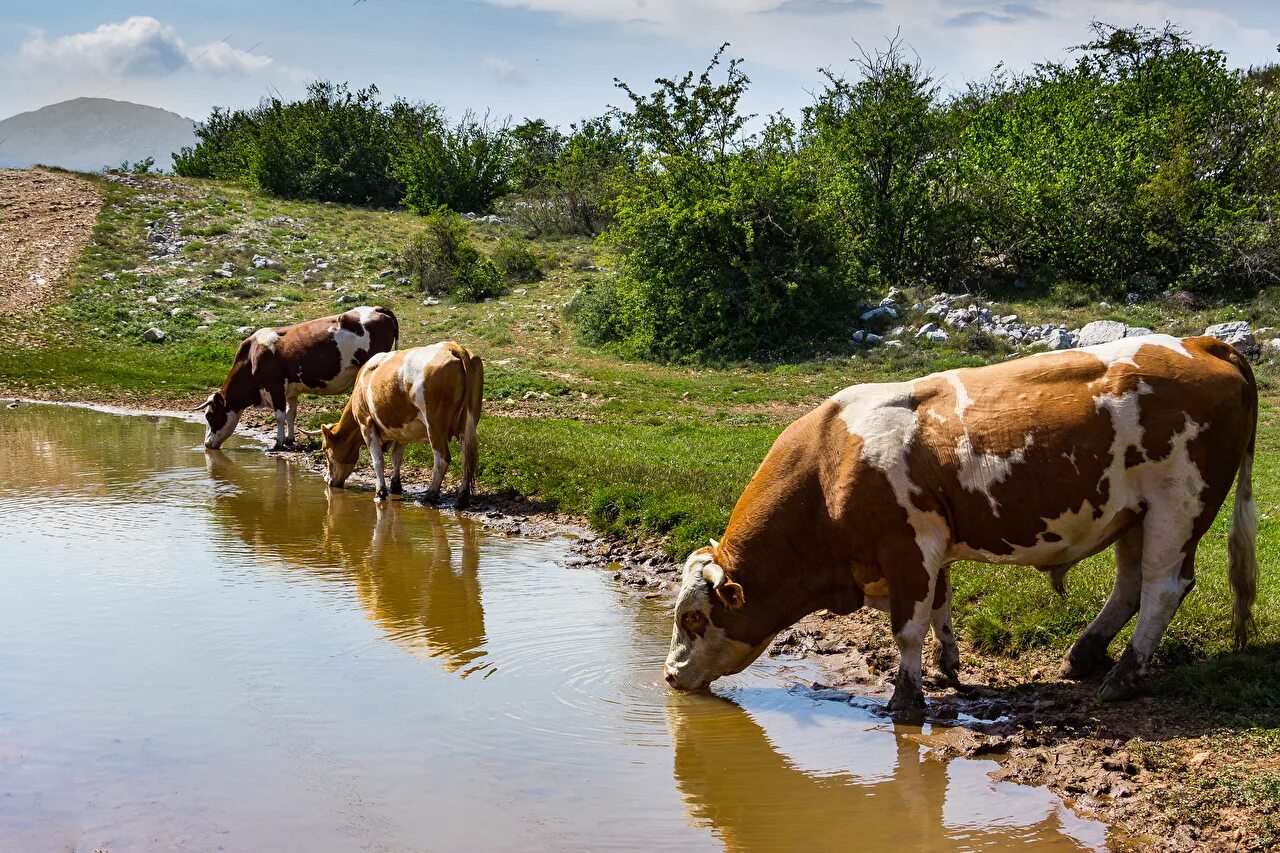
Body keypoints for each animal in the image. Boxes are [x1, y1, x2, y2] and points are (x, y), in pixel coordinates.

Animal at [192, 307, 394, 450]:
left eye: (209, 415)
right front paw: (289, 439)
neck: (252, 356)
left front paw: (278, 442)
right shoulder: (290, 390)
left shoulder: (275, 386)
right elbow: (291, 414)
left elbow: (279, 415)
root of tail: (377, 308)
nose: (206, 444)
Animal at [317, 340, 481, 504]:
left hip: (435, 425)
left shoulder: (366, 423)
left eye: (325, 449)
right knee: (467, 458)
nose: (327, 480)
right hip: (468, 424)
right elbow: (397, 456)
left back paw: (430, 495)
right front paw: (395, 486)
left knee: (441, 459)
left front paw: (380, 492)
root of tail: (451, 346)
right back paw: (462, 497)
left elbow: (378, 459)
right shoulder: (404, 429)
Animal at [670, 335, 1259, 706]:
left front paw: (906, 697)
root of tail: (1201, 342)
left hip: (1176, 509)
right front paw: (949, 667)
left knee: (1163, 588)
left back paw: (1122, 676)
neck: (829, 461)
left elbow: (907, 628)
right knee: (1131, 585)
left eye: (694, 617)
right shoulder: (930, 550)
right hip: (1134, 514)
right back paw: (1084, 654)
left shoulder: (907, 549)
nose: (671, 676)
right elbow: (940, 608)